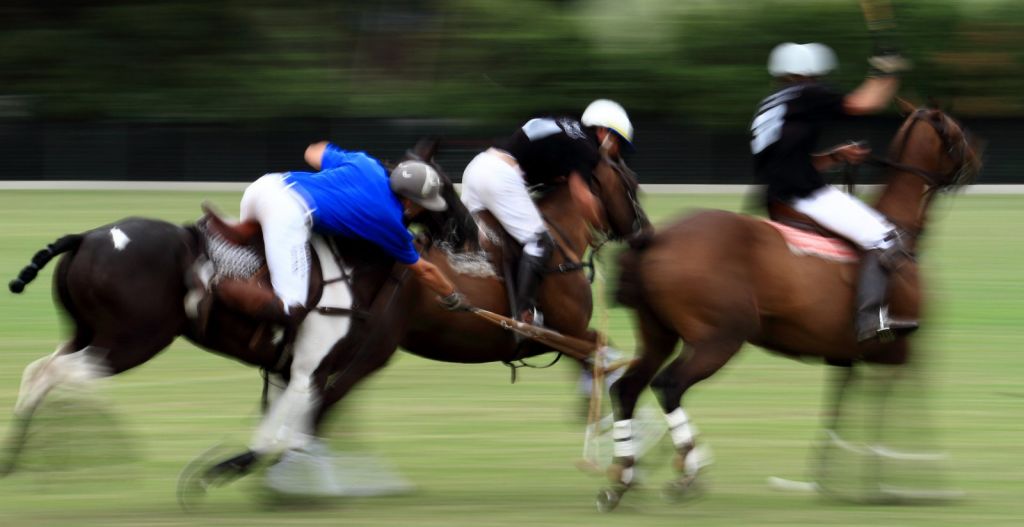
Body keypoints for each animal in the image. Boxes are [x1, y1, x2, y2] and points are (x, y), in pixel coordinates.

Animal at [0, 140, 464, 482]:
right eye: (445, 186)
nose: (468, 233)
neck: (353, 264)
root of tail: (84, 237)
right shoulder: (309, 369)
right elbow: (281, 434)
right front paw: (221, 472)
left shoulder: (289, 371)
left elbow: (280, 429)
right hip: (132, 340)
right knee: (57, 374)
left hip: (85, 331)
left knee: (38, 370)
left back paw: (17, 456)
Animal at [596, 101, 982, 511]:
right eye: (957, 131)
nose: (978, 155)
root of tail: (653, 239)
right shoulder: (900, 350)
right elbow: (899, 404)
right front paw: (915, 484)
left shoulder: (848, 356)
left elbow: (841, 406)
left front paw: (832, 479)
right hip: (719, 339)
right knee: (669, 385)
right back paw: (688, 471)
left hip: (658, 334)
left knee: (627, 388)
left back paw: (622, 479)